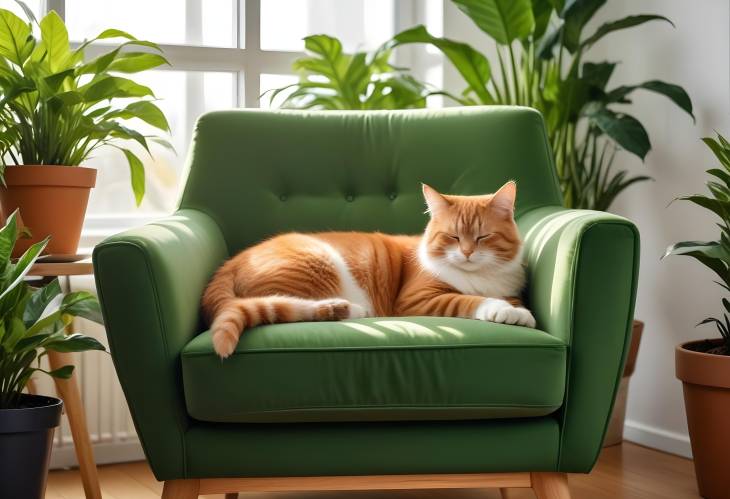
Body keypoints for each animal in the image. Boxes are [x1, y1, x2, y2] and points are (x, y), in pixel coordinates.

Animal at [203, 182, 536, 358]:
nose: (467, 253)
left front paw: (516, 310)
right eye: (453, 237)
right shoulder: (417, 300)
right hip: (314, 264)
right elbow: (468, 300)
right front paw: (503, 309)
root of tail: (231, 262)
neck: (479, 276)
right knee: (281, 306)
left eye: (482, 237)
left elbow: (511, 298)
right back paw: (347, 309)